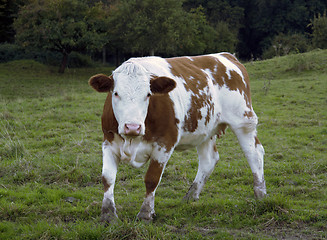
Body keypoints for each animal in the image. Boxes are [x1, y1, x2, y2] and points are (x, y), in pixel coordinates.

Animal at [89, 53, 266, 223]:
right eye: (116, 93)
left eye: (148, 94)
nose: (132, 126)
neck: (132, 140)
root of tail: (226, 56)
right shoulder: (108, 142)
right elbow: (107, 178)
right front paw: (108, 215)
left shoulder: (165, 144)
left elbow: (151, 179)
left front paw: (145, 214)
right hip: (205, 130)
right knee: (209, 160)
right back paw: (190, 196)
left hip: (244, 121)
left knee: (254, 153)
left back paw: (260, 194)